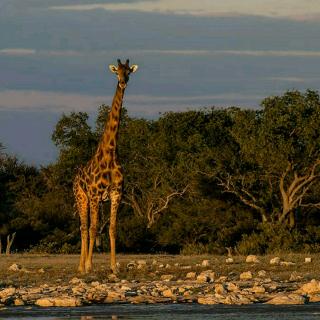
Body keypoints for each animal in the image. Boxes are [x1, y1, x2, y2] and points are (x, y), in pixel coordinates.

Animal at [74, 58, 139, 272]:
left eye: (128, 72)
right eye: (116, 72)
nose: (123, 83)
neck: (110, 153)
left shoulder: (116, 194)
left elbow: (111, 228)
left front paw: (114, 267)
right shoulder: (94, 195)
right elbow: (94, 228)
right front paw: (89, 266)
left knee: (88, 227)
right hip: (81, 197)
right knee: (84, 227)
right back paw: (81, 266)